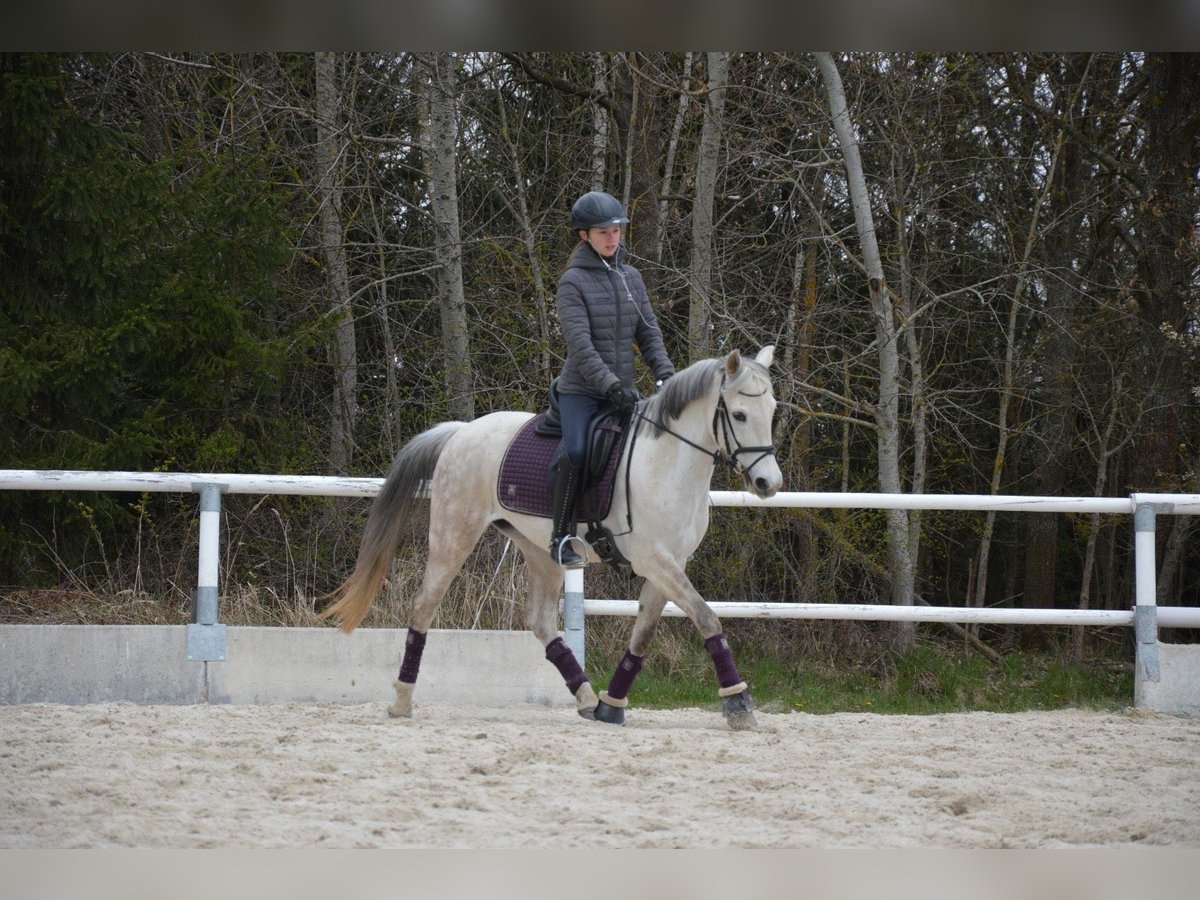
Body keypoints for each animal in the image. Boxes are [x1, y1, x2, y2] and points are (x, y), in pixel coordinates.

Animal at [321, 345, 787, 734]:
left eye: (772, 411)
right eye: (740, 415)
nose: (769, 483)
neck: (668, 461)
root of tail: (461, 432)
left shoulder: (672, 561)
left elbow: (644, 634)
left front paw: (611, 706)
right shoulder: (653, 558)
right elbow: (707, 617)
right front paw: (738, 704)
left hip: (539, 550)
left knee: (541, 621)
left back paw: (586, 698)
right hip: (454, 535)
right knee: (423, 606)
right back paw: (401, 701)